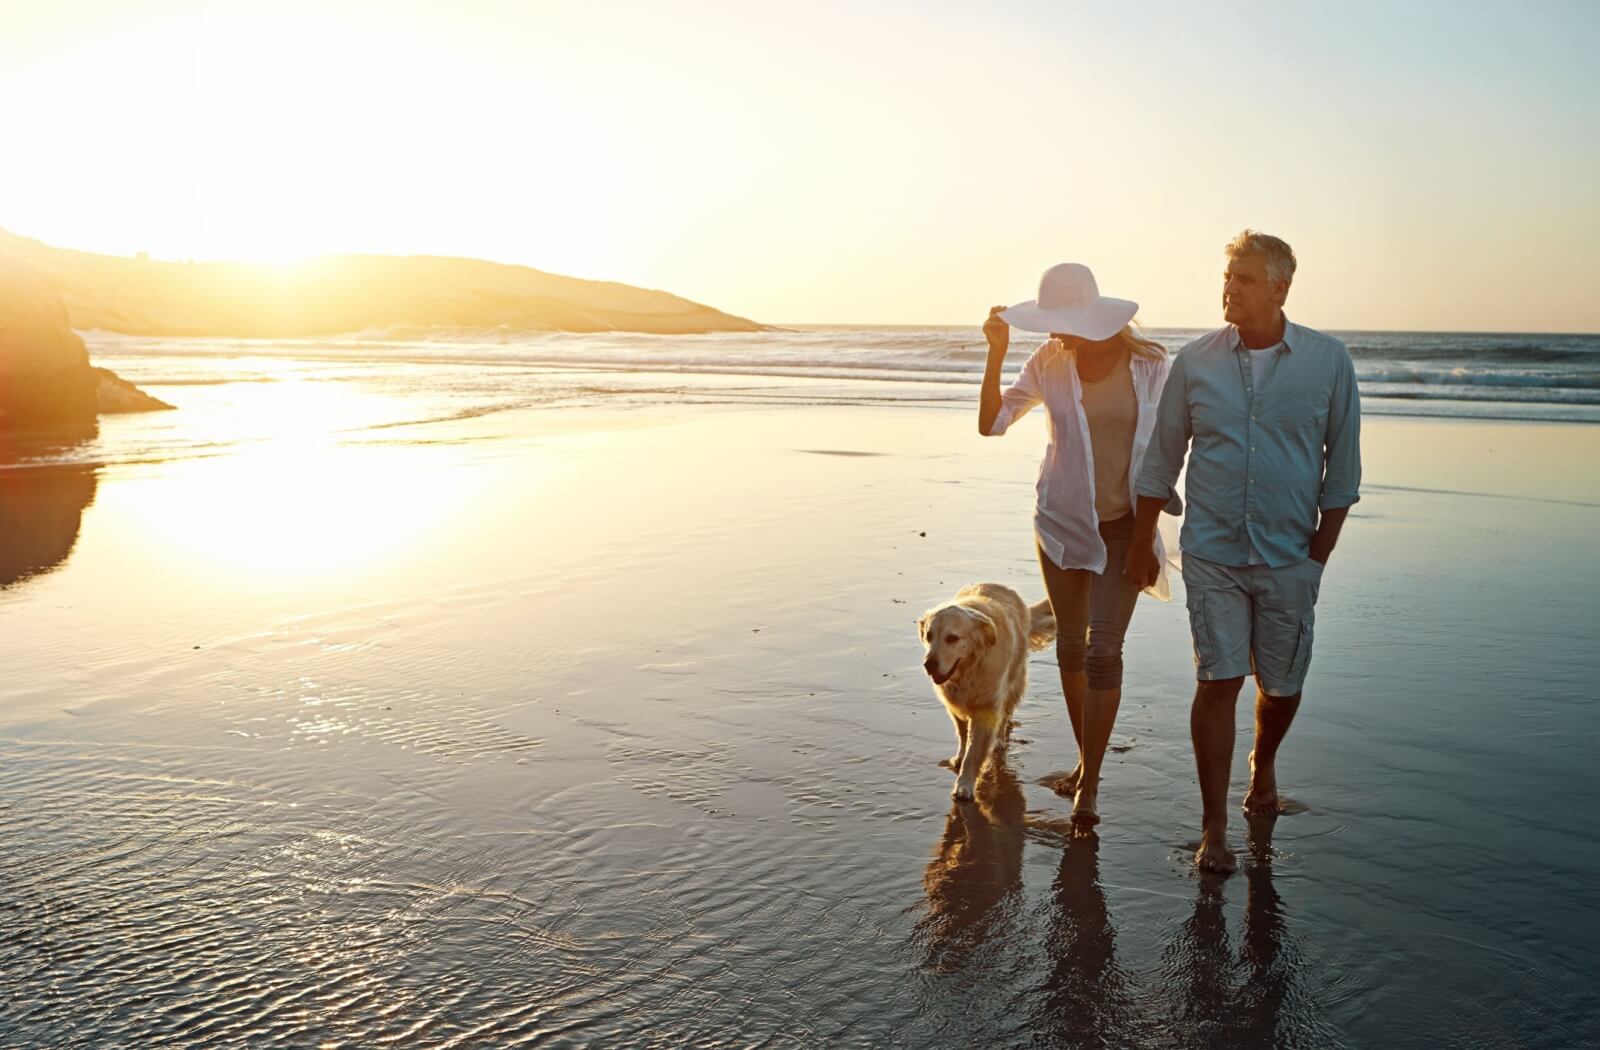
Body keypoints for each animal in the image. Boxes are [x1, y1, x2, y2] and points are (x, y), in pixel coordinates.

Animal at [921, 585, 1056, 800]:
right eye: (929, 636)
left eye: (952, 638)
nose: (929, 665)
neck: (969, 670)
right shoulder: (954, 702)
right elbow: (963, 734)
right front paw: (960, 756)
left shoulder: (986, 707)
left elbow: (974, 751)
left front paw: (964, 785)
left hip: (1013, 683)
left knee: (1005, 714)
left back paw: (999, 741)